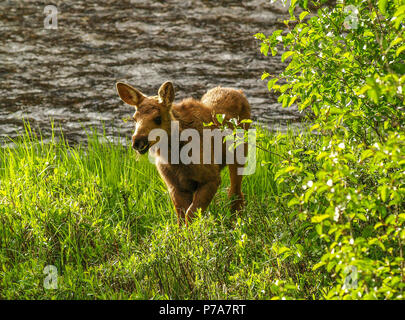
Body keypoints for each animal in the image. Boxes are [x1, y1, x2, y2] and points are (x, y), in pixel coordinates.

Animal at [115, 81, 251, 224]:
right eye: (134, 118)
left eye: (158, 118)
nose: (137, 141)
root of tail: (239, 92)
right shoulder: (175, 185)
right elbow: (182, 218)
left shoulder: (212, 178)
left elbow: (190, 215)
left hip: (240, 153)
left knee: (235, 192)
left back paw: (236, 222)